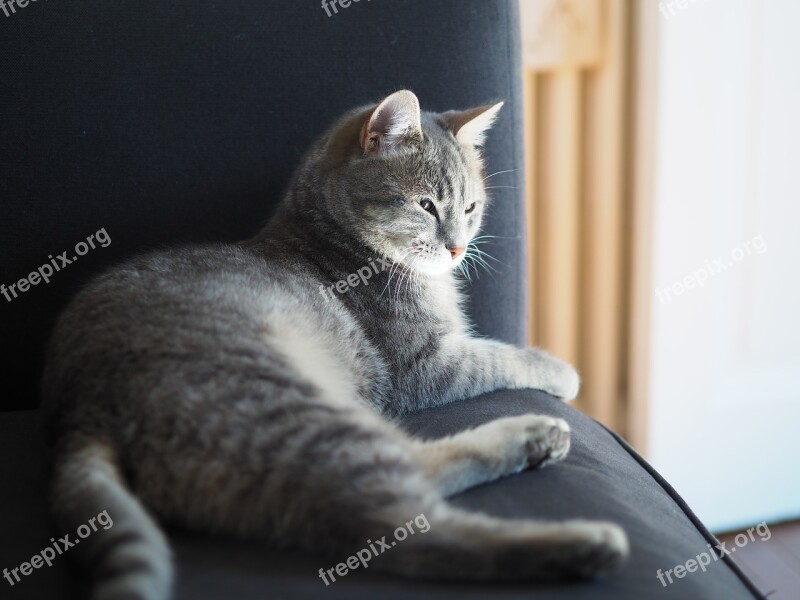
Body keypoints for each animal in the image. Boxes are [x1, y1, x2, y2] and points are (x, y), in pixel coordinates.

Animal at [42, 89, 632, 600]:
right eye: (426, 205)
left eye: (470, 208)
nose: (457, 248)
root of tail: (81, 408)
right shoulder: (426, 366)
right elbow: (500, 354)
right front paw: (560, 370)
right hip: (292, 409)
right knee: (408, 526)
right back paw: (578, 535)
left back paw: (536, 444)